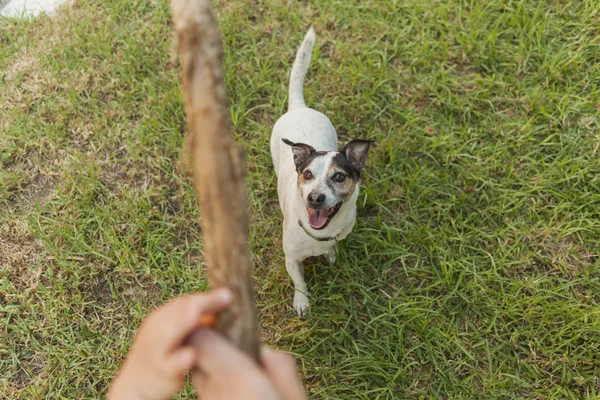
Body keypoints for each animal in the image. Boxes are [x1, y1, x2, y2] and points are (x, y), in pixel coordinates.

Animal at [270, 28, 372, 316]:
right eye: (307, 175)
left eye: (339, 176)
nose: (314, 198)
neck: (320, 233)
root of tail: (298, 107)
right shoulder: (291, 258)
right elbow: (299, 281)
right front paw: (302, 301)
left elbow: (333, 248)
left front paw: (330, 255)